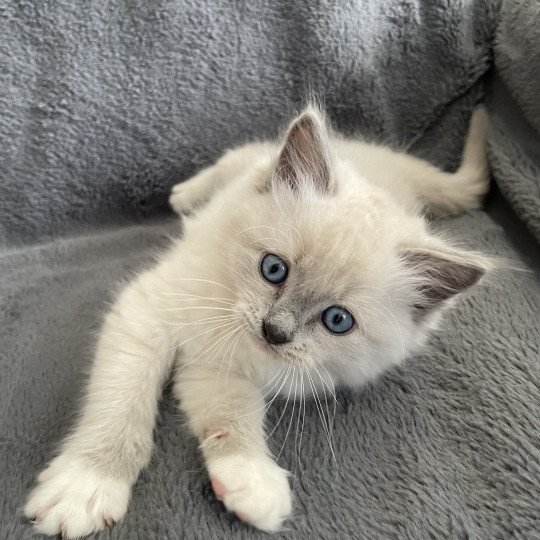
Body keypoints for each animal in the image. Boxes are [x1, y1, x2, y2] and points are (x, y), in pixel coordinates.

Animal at [24, 104, 490, 536]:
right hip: (251, 161)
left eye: (337, 320)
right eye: (274, 269)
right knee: (234, 157)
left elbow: (234, 415)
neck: (227, 316)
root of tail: (393, 165)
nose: (275, 331)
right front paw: (87, 485)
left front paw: (249, 482)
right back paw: (183, 195)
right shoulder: (148, 315)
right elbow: (121, 405)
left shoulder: (216, 369)